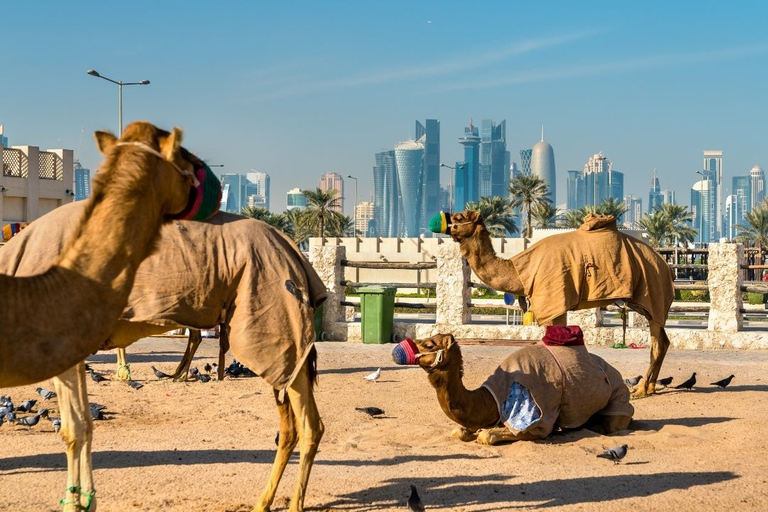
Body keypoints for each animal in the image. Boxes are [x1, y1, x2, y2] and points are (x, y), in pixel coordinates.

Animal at [0, 202, 328, 510]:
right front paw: (84, 501)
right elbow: (84, 426)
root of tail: (295, 252)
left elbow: (72, 430)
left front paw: (74, 504)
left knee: (310, 424)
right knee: (289, 425)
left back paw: (294, 505)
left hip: (276, 316)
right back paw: (262, 502)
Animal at [392, 328, 632, 444]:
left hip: (618, 396)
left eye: (429, 344)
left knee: (615, 422)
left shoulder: (536, 417)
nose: (398, 348)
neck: (492, 397)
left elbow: (487, 436)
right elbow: (458, 430)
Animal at [436, 210, 676, 398]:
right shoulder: (557, 305)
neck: (520, 271)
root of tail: (666, 265)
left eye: (459, 217)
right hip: (645, 303)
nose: (440, 220)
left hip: (653, 292)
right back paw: (650, 387)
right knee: (661, 340)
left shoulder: (555, 301)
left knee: (658, 341)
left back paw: (642, 390)